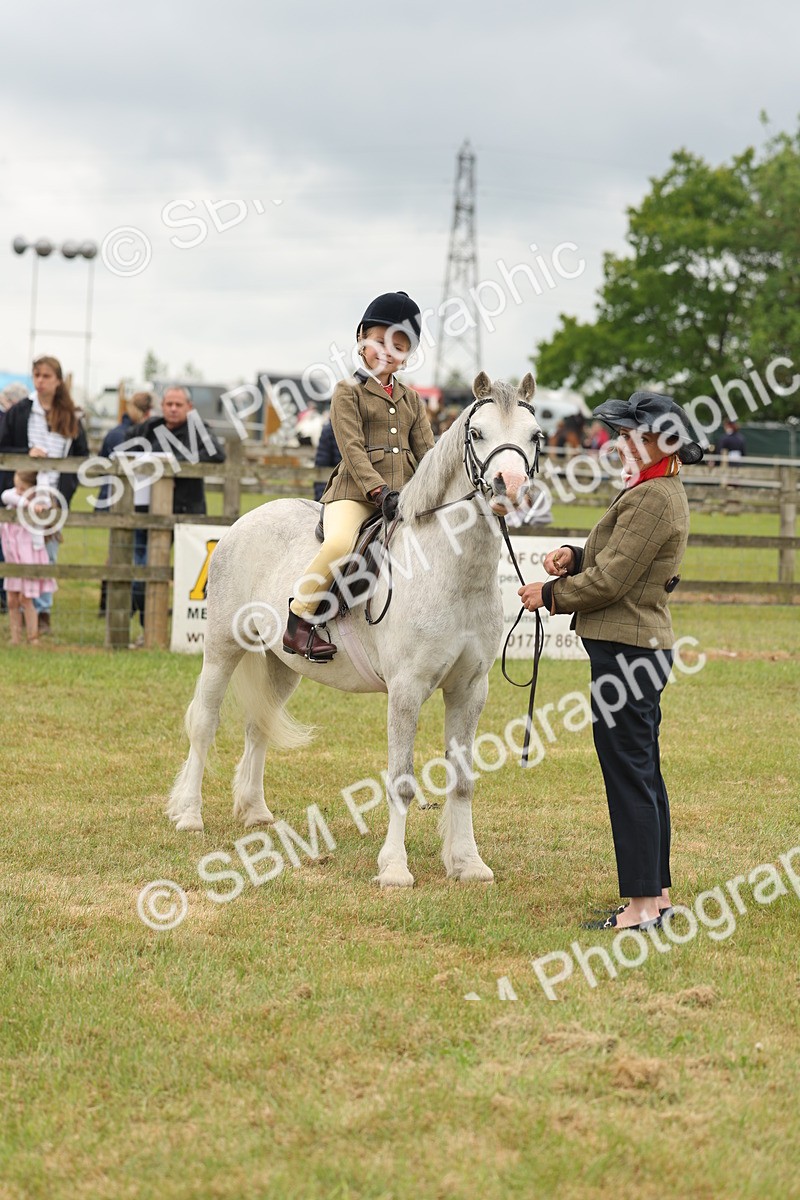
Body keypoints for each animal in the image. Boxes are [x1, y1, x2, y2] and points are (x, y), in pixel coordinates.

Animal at [167, 371, 542, 887]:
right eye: (477, 432)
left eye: (535, 436)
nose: (511, 486)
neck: (452, 572)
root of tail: (248, 519)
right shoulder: (406, 690)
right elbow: (402, 780)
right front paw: (395, 869)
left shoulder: (470, 690)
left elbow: (463, 780)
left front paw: (468, 863)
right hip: (222, 647)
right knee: (204, 722)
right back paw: (189, 814)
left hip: (282, 664)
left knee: (258, 725)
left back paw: (256, 812)